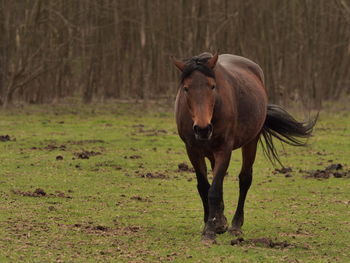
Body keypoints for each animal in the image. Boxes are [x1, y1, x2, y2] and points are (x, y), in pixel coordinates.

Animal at [172, 52, 318, 244]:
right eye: (186, 88)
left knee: (244, 179)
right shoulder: (193, 150)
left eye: (212, 86)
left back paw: (235, 225)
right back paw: (220, 220)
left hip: (251, 142)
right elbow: (204, 187)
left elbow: (214, 190)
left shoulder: (224, 150)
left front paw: (210, 231)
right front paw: (211, 223)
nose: (202, 129)